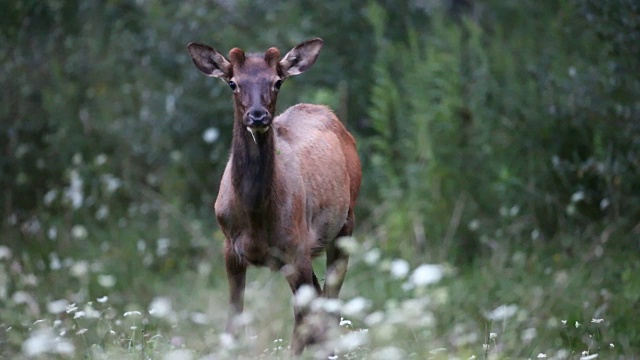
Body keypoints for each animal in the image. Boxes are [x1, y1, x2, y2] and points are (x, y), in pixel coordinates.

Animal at [188, 38, 362, 352]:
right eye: (232, 82)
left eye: (277, 81)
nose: (258, 115)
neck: (256, 214)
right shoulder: (230, 248)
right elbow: (234, 320)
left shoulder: (296, 248)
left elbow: (304, 319)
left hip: (345, 224)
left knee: (327, 304)